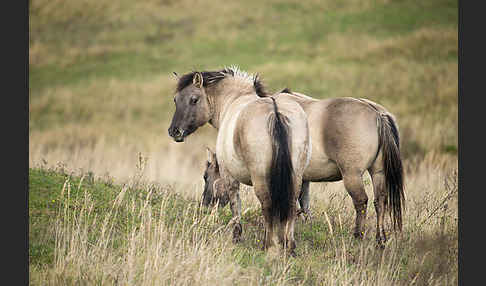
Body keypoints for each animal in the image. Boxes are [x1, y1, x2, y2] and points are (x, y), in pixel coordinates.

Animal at [167, 67, 312, 255]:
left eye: (194, 99)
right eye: (175, 99)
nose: (174, 131)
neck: (234, 99)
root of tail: (276, 111)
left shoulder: (229, 177)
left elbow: (235, 205)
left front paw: (236, 237)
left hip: (261, 180)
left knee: (267, 206)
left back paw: (267, 245)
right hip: (296, 177)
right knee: (292, 206)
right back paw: (290, 246)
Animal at [201, 86, 402, 247]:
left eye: (205, 177)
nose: (205, 204)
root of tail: (377, 113)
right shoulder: (302, 179)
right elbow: (304, 205)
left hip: (352, 175)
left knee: (361, 202)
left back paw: (358, 236)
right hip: (378, 172)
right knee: (380, 201)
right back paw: (380, 239)